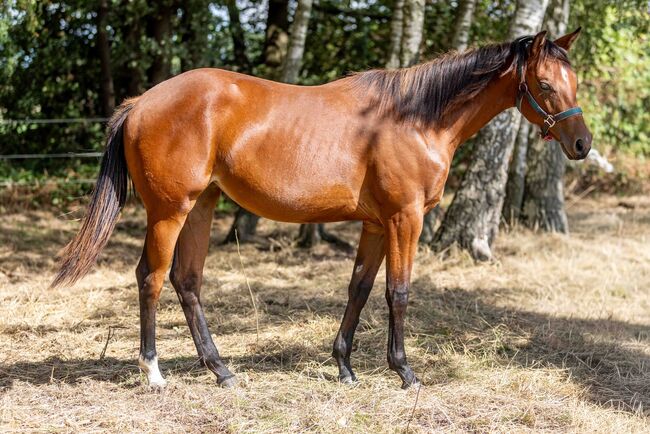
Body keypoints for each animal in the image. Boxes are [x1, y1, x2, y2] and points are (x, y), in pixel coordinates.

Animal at [52, 29, 591, 390]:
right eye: (545, 85)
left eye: (575, 82)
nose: (582, 144)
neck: (416, 119)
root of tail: (140, 103)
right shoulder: (405, 219)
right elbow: (398, 293)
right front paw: (405, 372)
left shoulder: (376, 224)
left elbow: (359, 290)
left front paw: (345, 367)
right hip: (169, 212)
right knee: (152, 278)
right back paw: (154, 372)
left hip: (201, 207)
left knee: (187, 282)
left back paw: (222, 370)